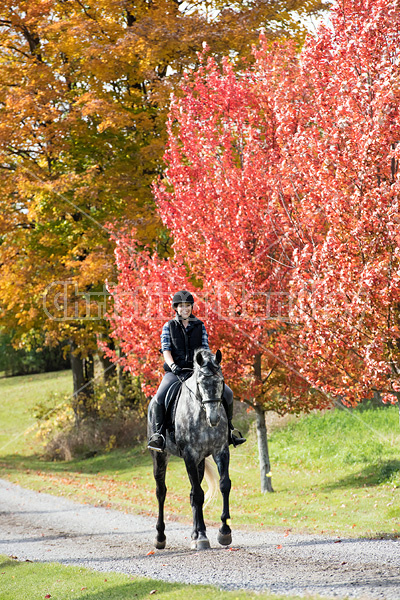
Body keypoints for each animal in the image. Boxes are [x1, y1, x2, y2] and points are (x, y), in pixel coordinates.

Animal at [147, 346, 231, 548]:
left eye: (221, 381)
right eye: (200, 382)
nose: (214, 418)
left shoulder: (221, 451)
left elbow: (223, 485)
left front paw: (224, 532)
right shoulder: (189, 456)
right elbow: (199, 494)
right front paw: (202, 537)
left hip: (200, 462)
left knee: (193, 494)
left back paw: (196, 533)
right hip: (160, 457)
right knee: (161, 492)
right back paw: (160, 537)